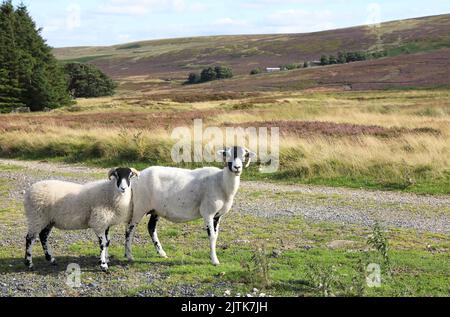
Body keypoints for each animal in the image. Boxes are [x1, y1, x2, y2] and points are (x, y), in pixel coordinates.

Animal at [125, 147, 255, 266]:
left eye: (244, 155)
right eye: (226, 154)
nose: (237, 168)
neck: (221, 182)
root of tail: (137, 176)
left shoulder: (218, 215)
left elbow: (216, 236)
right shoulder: (208, 212)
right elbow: (212, 236)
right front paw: (214, 260)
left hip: (156, 209)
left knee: (151, 228)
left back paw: (161, 253)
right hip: (139, 207)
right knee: (130, 229)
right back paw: (129, 256)